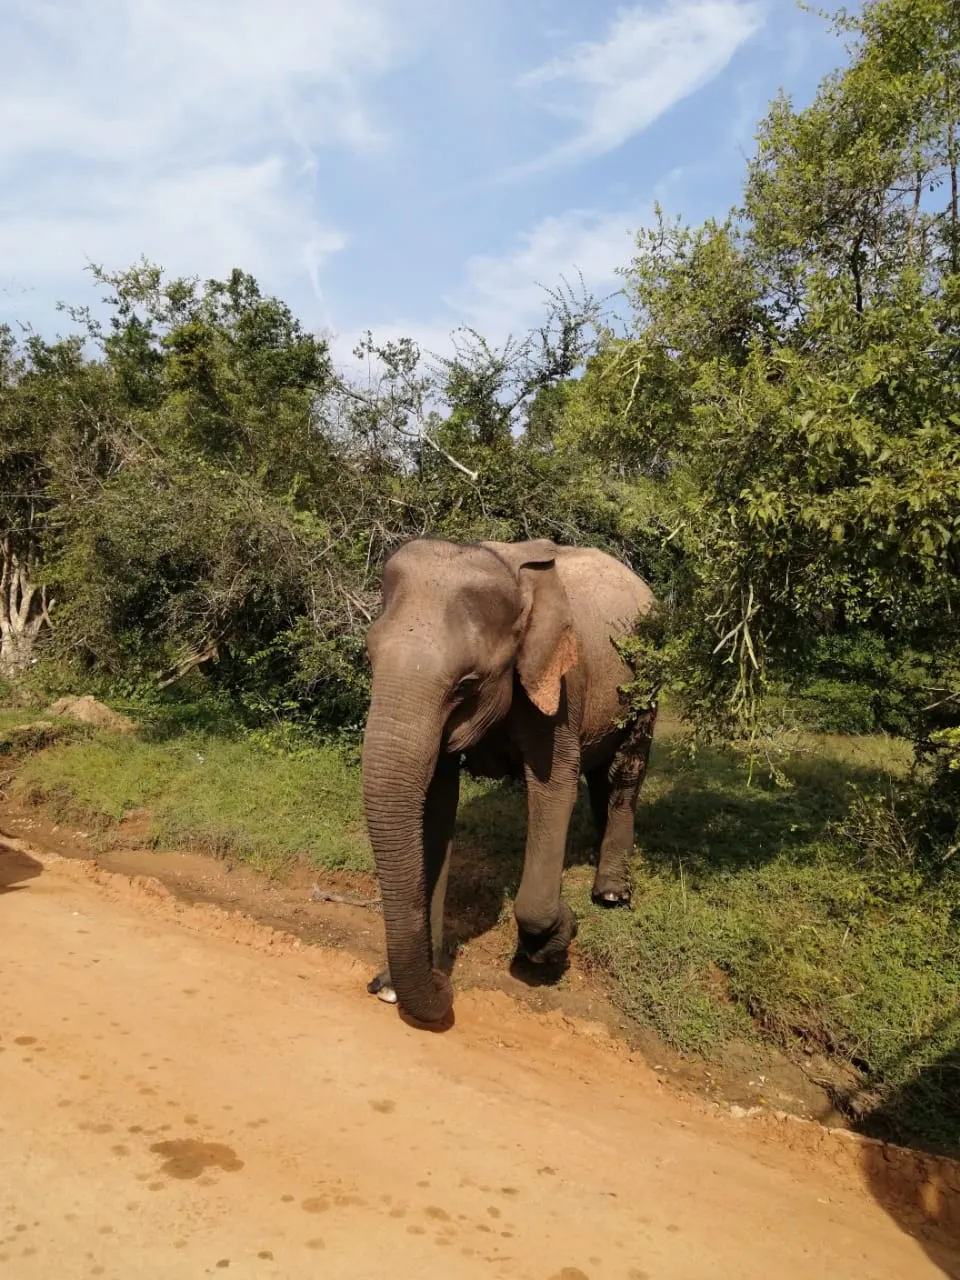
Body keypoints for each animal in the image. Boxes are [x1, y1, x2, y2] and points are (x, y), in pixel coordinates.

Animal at [361, 537, 658, 1025]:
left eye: (466, 684)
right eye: (369, 657)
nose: (443, 988)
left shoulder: (560, 686)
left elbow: (555, 788)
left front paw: (559, 934)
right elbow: (437, 802)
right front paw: (394, 985)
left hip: (649, 682)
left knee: (625, 771)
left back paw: (612, 894)